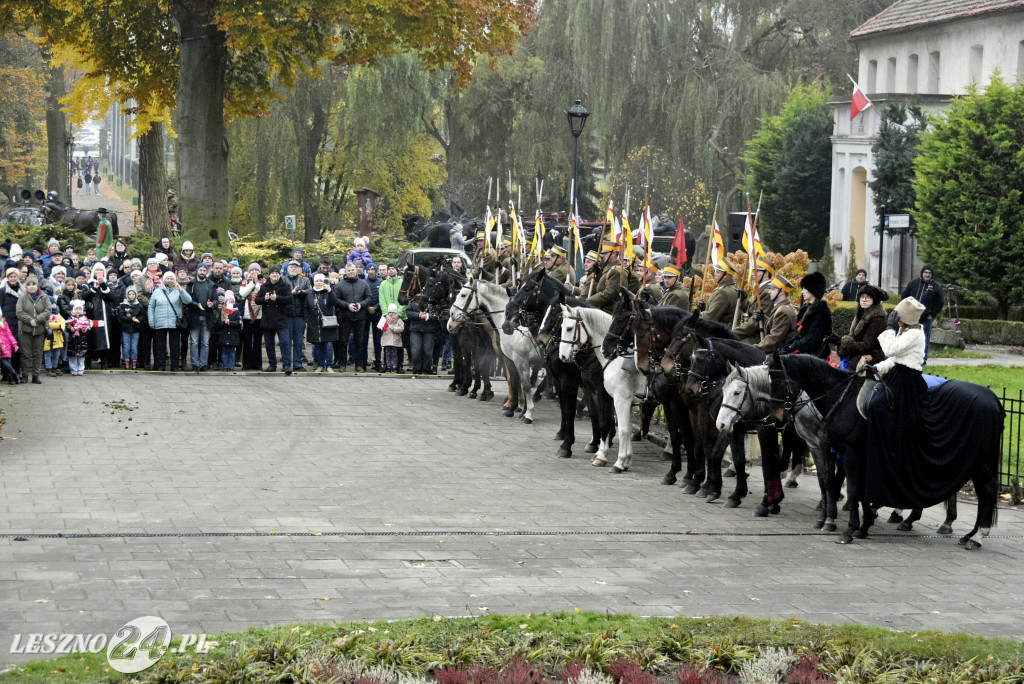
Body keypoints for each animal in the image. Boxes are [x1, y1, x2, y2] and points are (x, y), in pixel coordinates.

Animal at [448, 278, 544, 421]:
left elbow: (519, 381)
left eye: (463, 295)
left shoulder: (516, 358)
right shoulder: (506, 357)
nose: (451, 322)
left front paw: (519, 407)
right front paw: (514, 405)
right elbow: (511, 379)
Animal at [561, 305, 647, 473]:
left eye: (569, 328)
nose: (562, 356)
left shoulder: (615, 397)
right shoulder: (618, 399)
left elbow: (610, 425)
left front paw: (609, 459)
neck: (616, 359)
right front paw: (626, 460)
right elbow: (623, 427)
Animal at [770, 352, 999, 548]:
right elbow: (851, 488)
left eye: (777, 380)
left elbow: (852, 490)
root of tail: (992, 398)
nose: (776, 416)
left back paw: (975, 536)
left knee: (985, 492)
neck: (843, 398)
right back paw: (960, 531)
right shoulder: (847, 451)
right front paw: (862, 526)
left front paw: (848, 529)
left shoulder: (849, 451)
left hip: (978, 460)